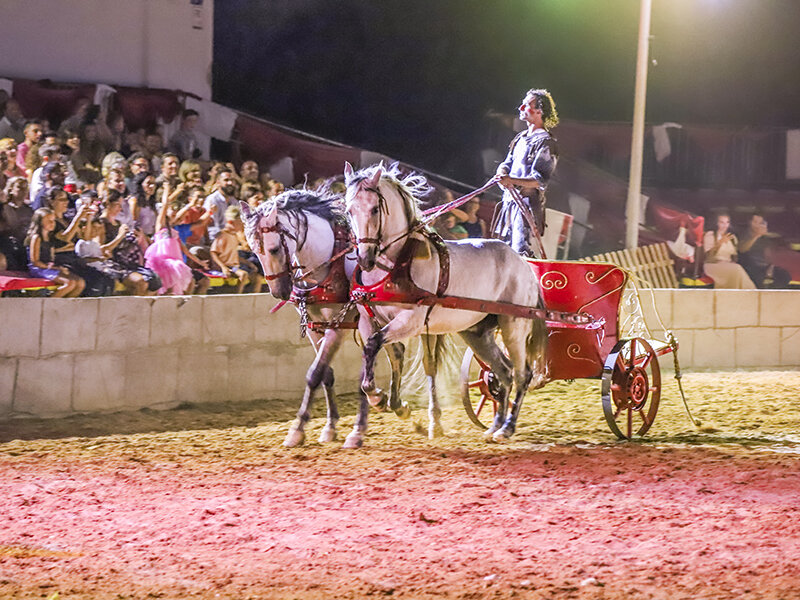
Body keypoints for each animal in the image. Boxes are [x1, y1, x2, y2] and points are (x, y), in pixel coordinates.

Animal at [239, 190, 406, 448]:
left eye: (275, 249)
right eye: (255, 252)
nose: (278, 291)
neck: (325, 262)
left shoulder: (337, 327)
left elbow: (315, 373)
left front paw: (297, 429)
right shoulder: (314, 327)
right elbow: (326, 373)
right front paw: (328, 426)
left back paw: (361, 427)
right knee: (395, 353)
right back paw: (391, 405)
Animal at [344, 164, 552, 446]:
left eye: (375, 209)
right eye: (349, 210)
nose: (365, 259)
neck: (396, 265)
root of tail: (523, 263)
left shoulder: (412, 321)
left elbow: (376, 345)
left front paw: (379, 398)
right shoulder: (369, 320)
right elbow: (384, 352)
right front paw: (395, 404)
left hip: (514, 326)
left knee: (522, 374)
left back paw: (507, 428)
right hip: (476, 332)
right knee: (503, 373)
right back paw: (494, 426)